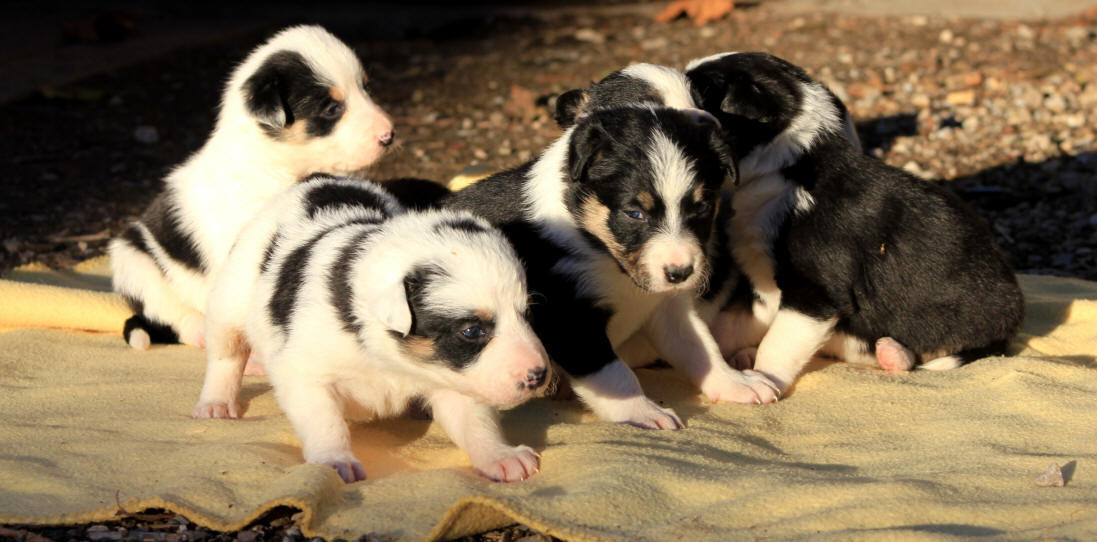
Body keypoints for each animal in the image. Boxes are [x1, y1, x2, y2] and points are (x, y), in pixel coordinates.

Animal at [106, 23, 397, 348]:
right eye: (332, 108)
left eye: (366, 88)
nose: (389, 134)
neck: (279, 163)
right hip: (134, 260)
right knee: (169, 312)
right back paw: (199, 330)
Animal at [194, 174, 552, 482]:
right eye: (472, 331)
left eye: (527, 314)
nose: (539, 375)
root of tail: (320, 179)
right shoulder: (305, 375)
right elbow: (324, 421)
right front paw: (334, 460)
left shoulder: (455, 379)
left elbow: (476, 422)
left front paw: (501, 456)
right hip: (230, 299)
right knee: (226, 355)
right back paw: (216, 402)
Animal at [440, 104, 776, 432]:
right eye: (635, 213)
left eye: (702, 208)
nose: (680, 273)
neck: (599, 251)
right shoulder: (570, 318)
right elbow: (616, 374)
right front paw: (643, 412)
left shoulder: (666, 305)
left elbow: (700, 347)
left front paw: (736, 383)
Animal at [684, 50, 1026, 399]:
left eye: (701, 92)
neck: (787, 168)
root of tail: (1013, 317)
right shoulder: (767, 287)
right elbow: (735, 322)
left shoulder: (816, 293)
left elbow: (776, 344)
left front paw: (764, 380)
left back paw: (894, 353)